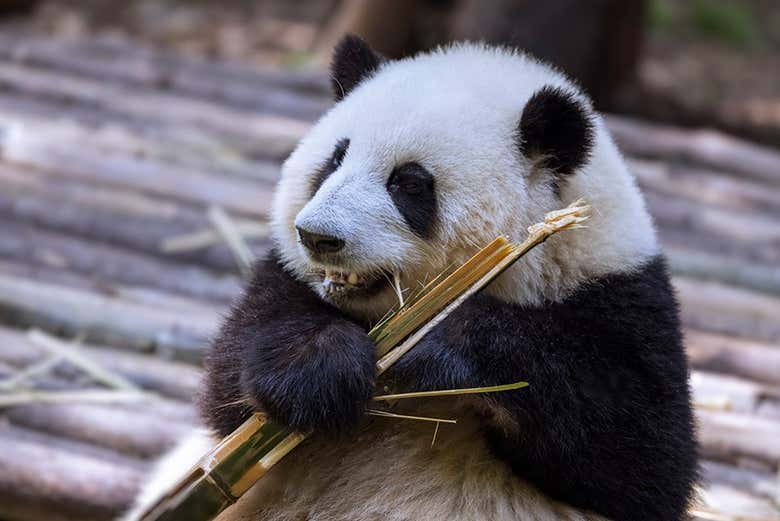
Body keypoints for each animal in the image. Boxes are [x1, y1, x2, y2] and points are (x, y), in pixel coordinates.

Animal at [124, 35, 698, 521]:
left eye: (408, 183)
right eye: (334, 159)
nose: (317, 236)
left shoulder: (622, 296)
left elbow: (640, 453)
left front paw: (438, 342)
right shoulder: (282, 281)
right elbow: (230, 386)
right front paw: (318, 368)